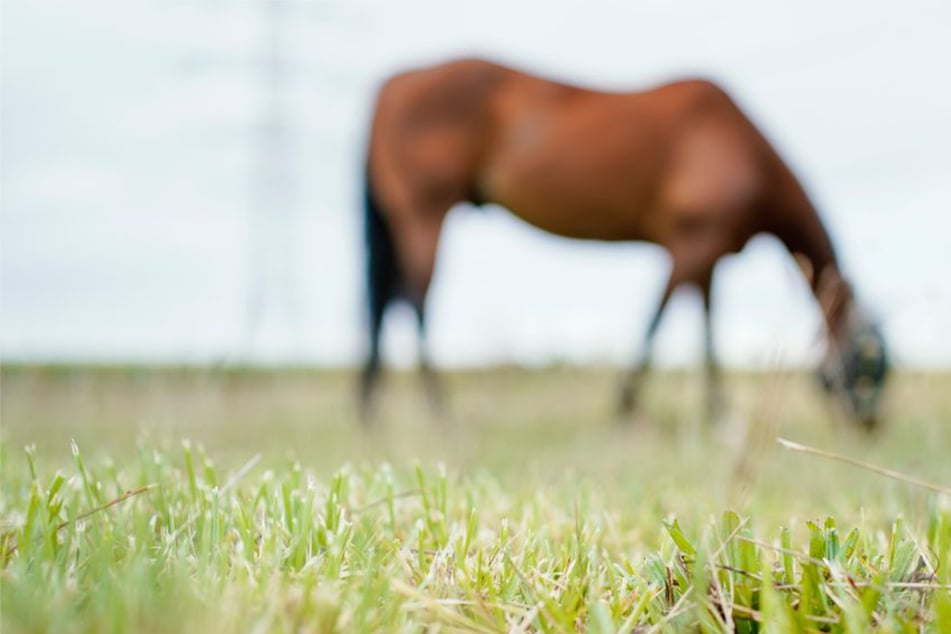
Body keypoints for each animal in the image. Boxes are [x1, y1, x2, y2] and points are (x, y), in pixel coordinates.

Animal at [358, 57, 889, 428]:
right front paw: (626, 407)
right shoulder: (690, 248)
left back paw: (369, 408)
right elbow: (657, 321)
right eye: (869, 363)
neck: (742, 152)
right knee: (413, 300)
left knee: (386, 301)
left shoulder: (708, 255)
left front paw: (717, 414)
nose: (870, 424)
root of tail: (390, 85)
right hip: (426, 212)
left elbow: (706, 330)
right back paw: (437, 410)